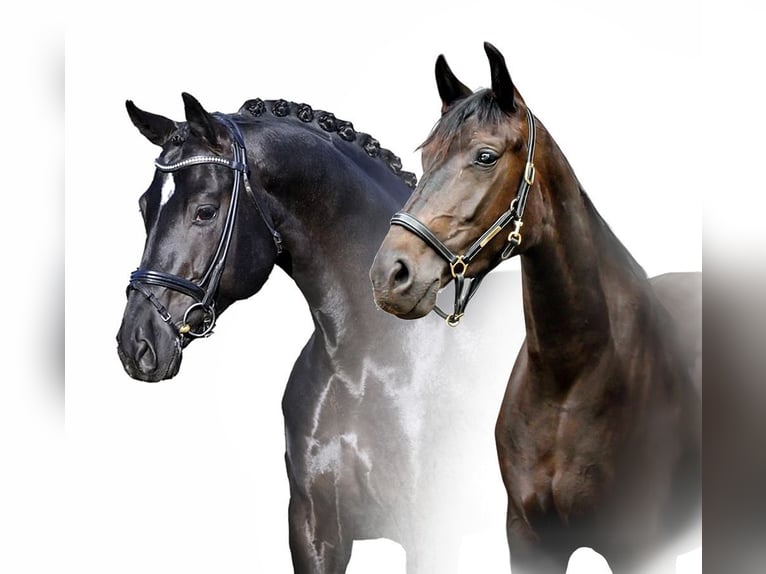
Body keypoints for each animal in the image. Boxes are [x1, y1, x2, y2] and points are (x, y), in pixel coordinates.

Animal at [116, 92, 522, 573]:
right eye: (144, 206)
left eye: (205, 211)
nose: (136, 343)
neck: (368, 362)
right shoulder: (315, 530)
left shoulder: (431, 535)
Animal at [370, 43, 701, 573]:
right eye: (426, 156)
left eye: (485, 156)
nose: (390, 274)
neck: (572, 377)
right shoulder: (528, 539)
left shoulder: (640, 549)